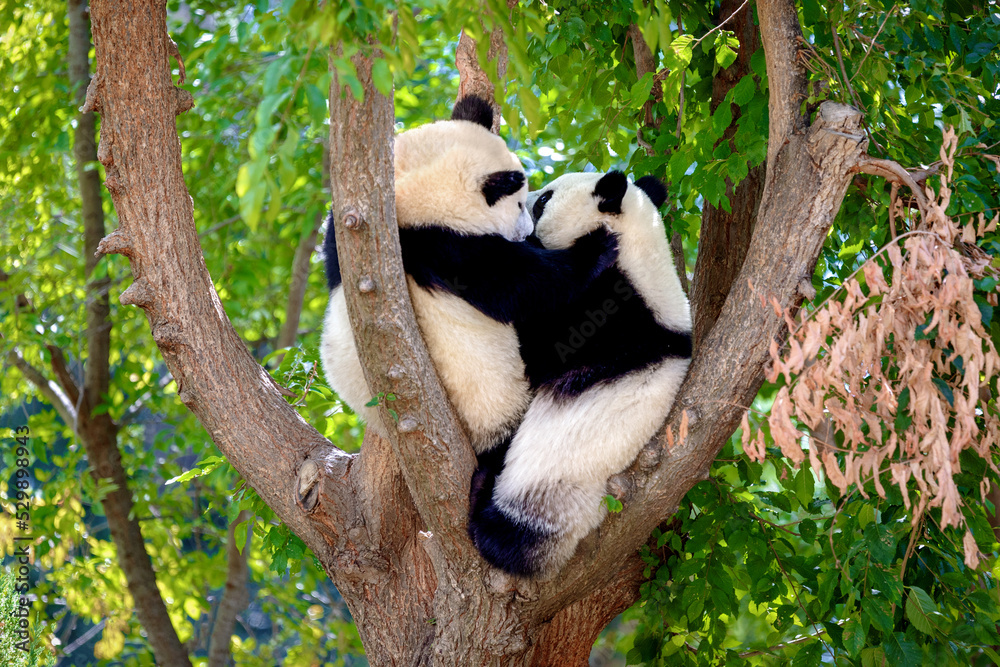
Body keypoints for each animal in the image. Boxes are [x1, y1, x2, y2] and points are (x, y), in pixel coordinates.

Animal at [321, 97, 619, 453]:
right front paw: (598, 246)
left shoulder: (343, 229)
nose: (526, 233)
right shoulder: (448, 248)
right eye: (519, 205)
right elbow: (525, 287)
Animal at [468, 170, 693, 578]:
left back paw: (485, 502)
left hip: (557, 491)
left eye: (544, 201)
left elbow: (539, 340)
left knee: (520, 531)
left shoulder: (605, 311)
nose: (520, 212)